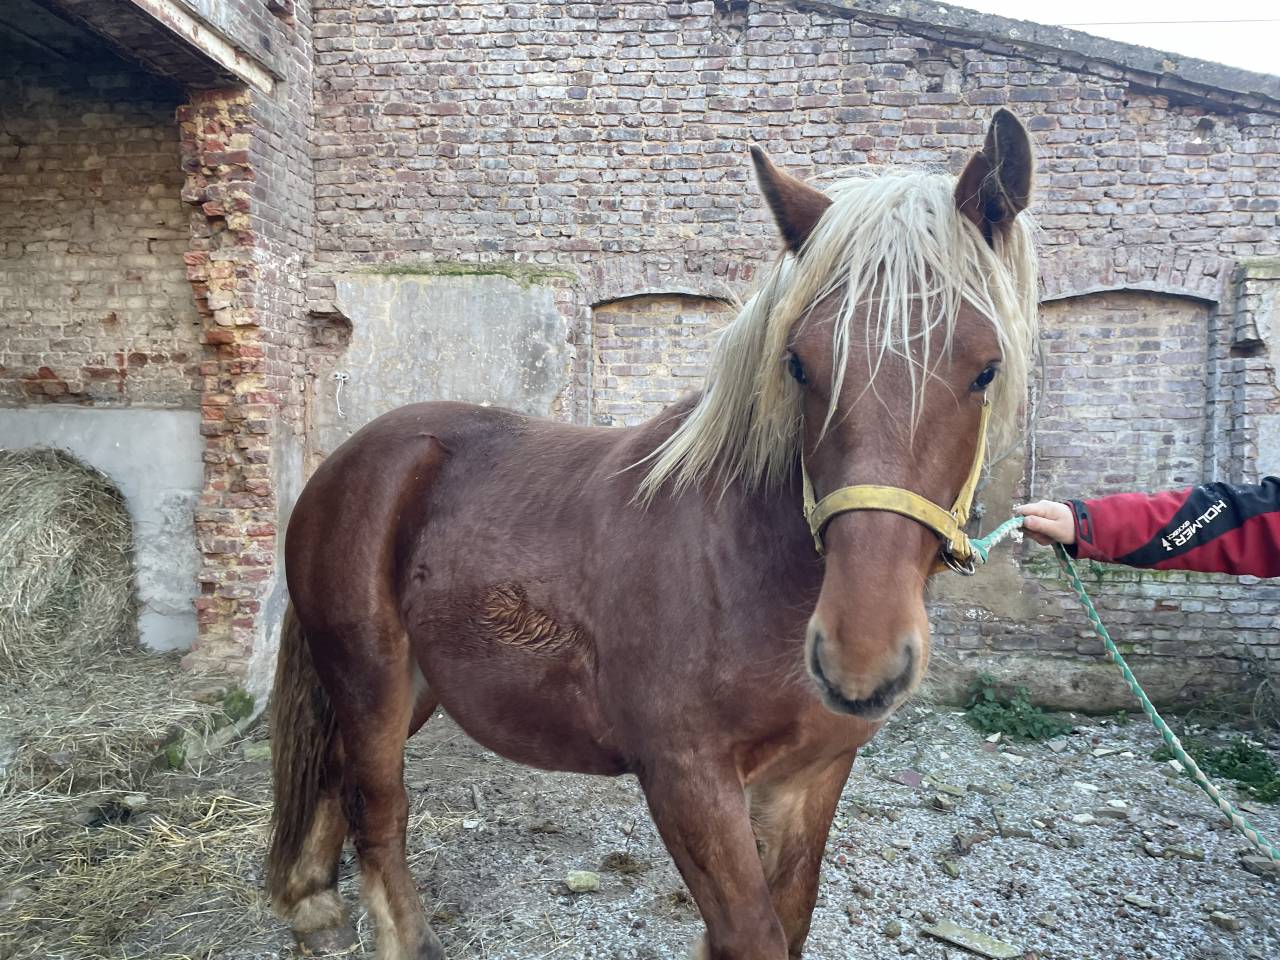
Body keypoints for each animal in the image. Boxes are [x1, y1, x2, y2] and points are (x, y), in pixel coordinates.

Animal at [266, 108, 1039, 960]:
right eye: (799, 364)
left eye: (985, 369)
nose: (859, 659)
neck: (744, 565)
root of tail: (343, 462)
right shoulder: (687, 781)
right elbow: (752, 935)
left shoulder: (810, 778)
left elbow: (787, 920)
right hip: (370, 677)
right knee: (378, 808)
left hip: (413, 686)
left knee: (338, 773)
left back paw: (309, 899)